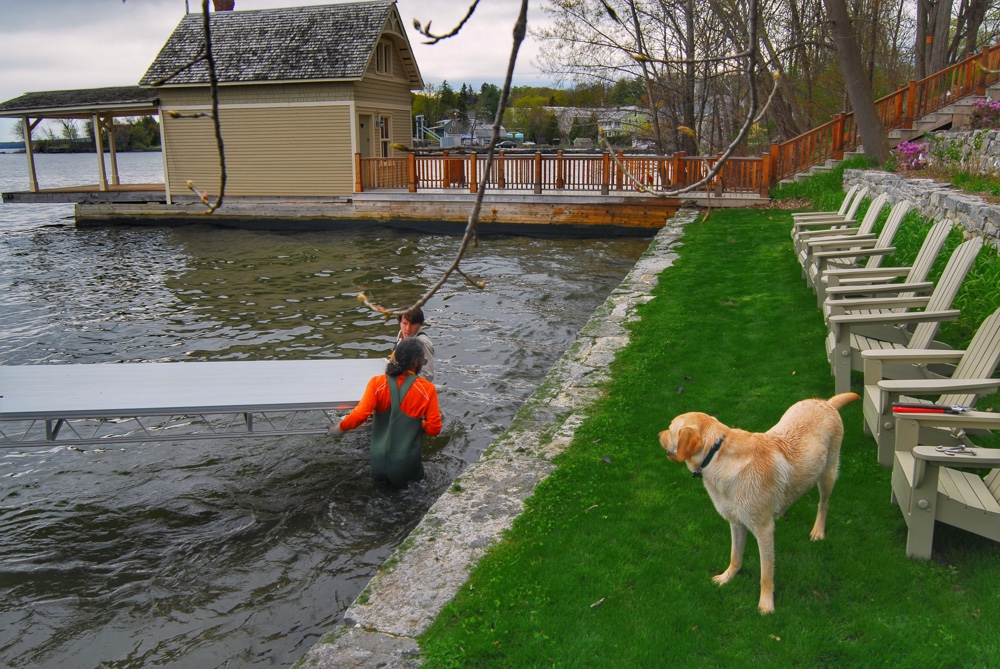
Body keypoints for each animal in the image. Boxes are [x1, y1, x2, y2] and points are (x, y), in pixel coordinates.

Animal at [656, 392, 860, 616]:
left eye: (670, 428)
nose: (658, 434)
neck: (716, 455)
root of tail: (825, 403)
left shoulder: (764, 531)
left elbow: (766, 574)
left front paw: (766, 604)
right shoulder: (736, 523)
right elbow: (735, 556)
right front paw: (727, 577)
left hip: (827, 476)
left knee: (823, 505)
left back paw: (818, 531)